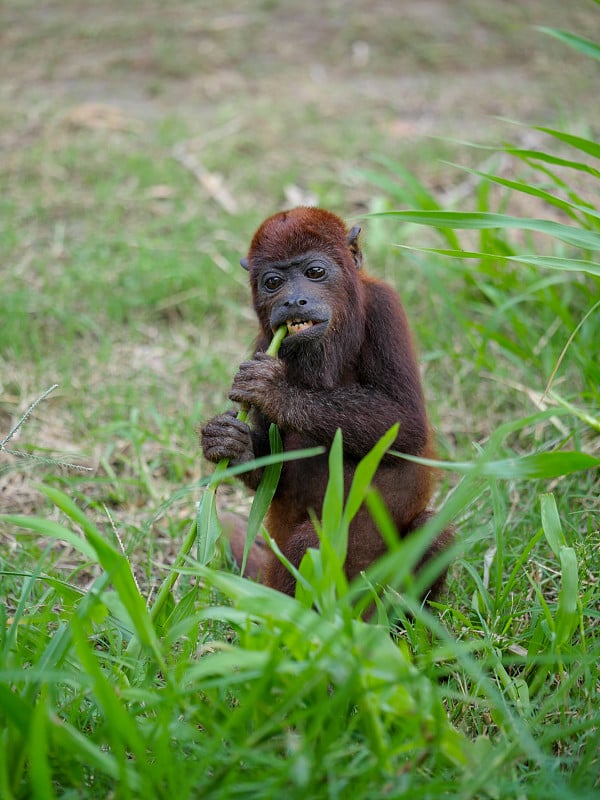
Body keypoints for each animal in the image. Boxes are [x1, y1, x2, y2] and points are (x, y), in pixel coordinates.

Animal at [199, 206, 452, 600]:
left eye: (314, 272)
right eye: (273, 282)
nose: (292, 301)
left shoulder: (385, 308)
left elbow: (406, 425)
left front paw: (275, 391)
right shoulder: (263, 342)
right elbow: (273, 475)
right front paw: (229, 442)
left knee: (432, 527)